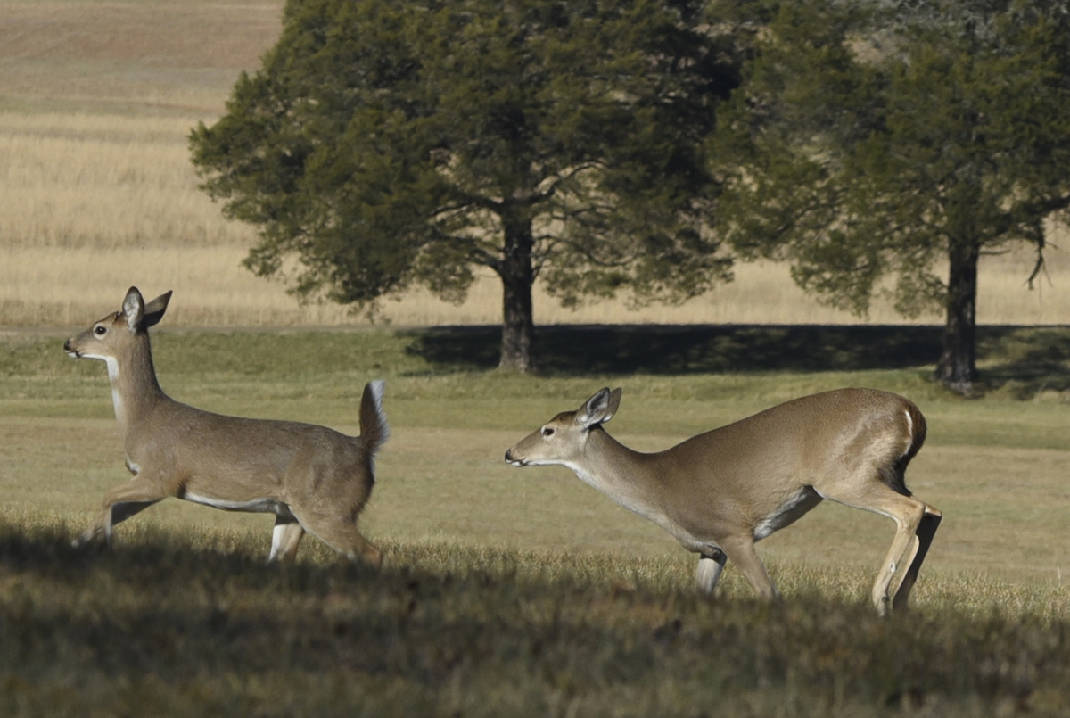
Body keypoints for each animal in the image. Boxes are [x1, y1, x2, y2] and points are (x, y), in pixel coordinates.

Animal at [63, 286, 388, 566]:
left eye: (99, 328)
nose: (68, 344)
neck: (142, 417)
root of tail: (363, 446)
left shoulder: (162, 475)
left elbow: (107, 498)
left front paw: (106, 544)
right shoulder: (151, 482)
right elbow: (114, 508)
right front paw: (77, 544)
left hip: (325, 506)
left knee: (372, 552)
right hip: (291, 511)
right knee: (282, 556)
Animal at [505, 387, 942, 614]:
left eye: (547, 430)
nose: (510, 453)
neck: (659, 488)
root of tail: (911, 414)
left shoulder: (734, 531)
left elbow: (769, 593)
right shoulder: (710, 548)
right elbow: (701, 593)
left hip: (843, 476)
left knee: (913, 510)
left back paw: (880, 596)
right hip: (888, 471)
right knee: (933, 511)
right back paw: (902, 599)